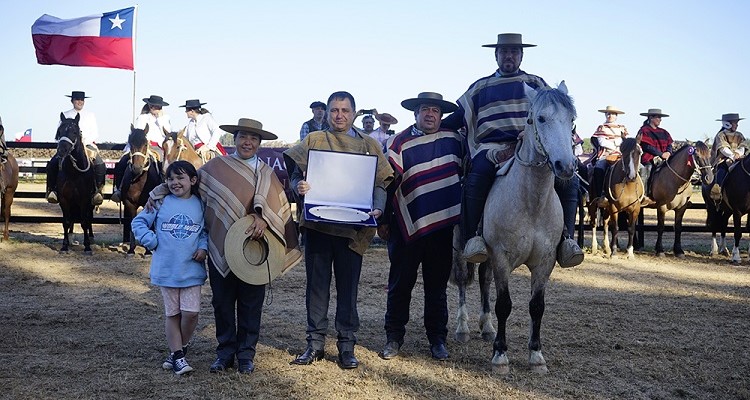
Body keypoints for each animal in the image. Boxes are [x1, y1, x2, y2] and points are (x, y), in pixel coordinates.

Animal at [53, 112, 96, 253]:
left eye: (75, 132)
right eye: (59, 131)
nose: (61, 151)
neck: (74, 172)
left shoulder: (85, 199)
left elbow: (84, 222)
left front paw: (87, 246)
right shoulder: (64, 199)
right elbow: (66, 222)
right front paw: (64, 246)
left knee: (89, 219)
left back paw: (91, 238)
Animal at [122, 125, 164, 256]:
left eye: (145, 144)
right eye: (130, 143)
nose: (136, 168)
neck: (139, 180)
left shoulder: (149, 203)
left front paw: (148, 251)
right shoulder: (129, 203)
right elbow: (132, 223)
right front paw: (131, 249)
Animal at [452, 82, 580, 376]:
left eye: (571, 120)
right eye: (539, 118)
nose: (566, 166)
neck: (532, 203)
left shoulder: (545, 262)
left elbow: (537, 307)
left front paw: (536, 356)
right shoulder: (502, 257)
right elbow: (504, 304)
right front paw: (500, 356)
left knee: (484, 280)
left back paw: (486, 327)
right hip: (460, 244)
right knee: (463, 280)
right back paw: (463, 327)